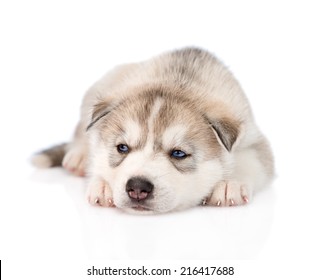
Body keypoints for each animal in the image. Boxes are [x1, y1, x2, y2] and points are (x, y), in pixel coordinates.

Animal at [31, 47, 272, 213]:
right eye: (122, 148)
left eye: (178, 153)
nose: (137, 187)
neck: (178, 81)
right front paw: (102, 184)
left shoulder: (254, 138)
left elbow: (250, 160)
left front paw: (231, 183)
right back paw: (79, 156)